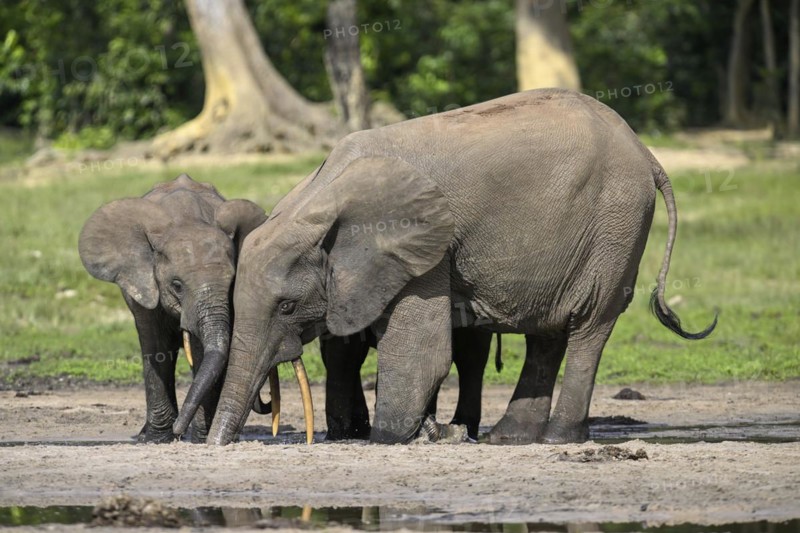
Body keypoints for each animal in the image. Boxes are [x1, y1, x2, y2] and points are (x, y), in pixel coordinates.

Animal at [78, 174, 271, 443]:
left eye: (232, 283)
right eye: (177, 286)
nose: (180, 428)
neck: (186, 218)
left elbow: (201, 351)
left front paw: (198, 438)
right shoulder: (145, 284)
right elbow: (156, 346)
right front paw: (156, 439)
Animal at [202, 88, 716, 445]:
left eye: (287, 307)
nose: (216, 445)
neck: (319, 195)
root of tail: (646, 152)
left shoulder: (426, 252)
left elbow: (421, 351)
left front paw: (392, 437)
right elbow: (352, 344)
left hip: (615, 227)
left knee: (589, 324)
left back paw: (557, 437)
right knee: (547, 331)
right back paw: (510, 437)